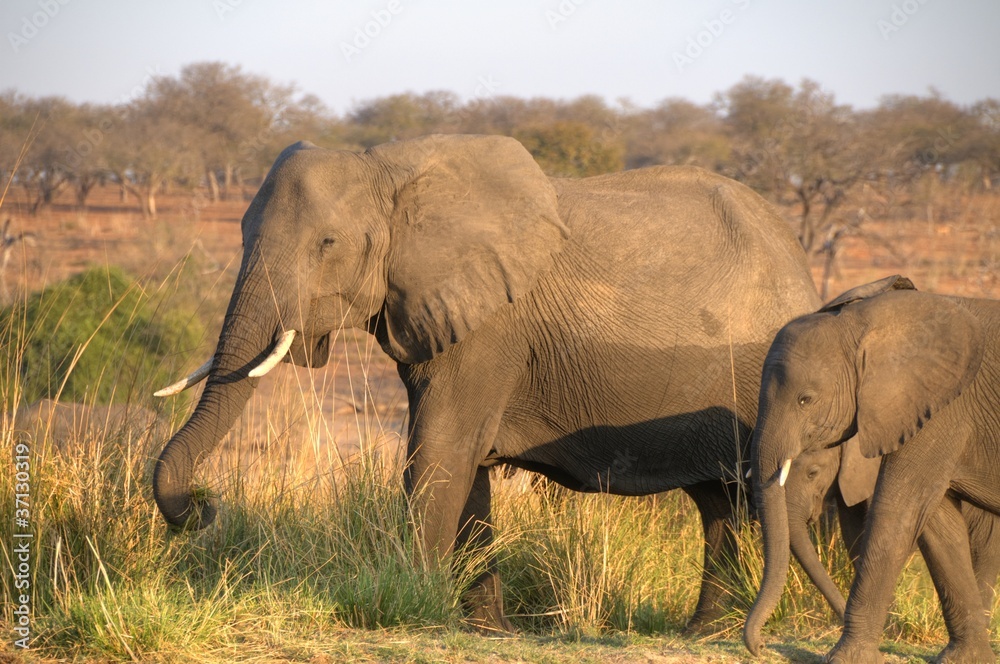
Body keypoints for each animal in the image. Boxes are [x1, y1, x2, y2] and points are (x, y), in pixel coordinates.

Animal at [151, 134, 820, 631]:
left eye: (327, 243)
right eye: (241, 234)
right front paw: (486, 630)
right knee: (718, 500)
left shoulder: (491, 327)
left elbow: (441, 452)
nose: (204, 505)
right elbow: (463, 463)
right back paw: (702, 632)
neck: (388, 170)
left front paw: (411, 605)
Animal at [744, 275, 1000, 663]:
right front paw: (964, 659)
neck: (869, 322)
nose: (760, 647)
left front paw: (844, 657)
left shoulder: (943, 409)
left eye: (806, 399)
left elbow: (899, 511)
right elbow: (938, 524)